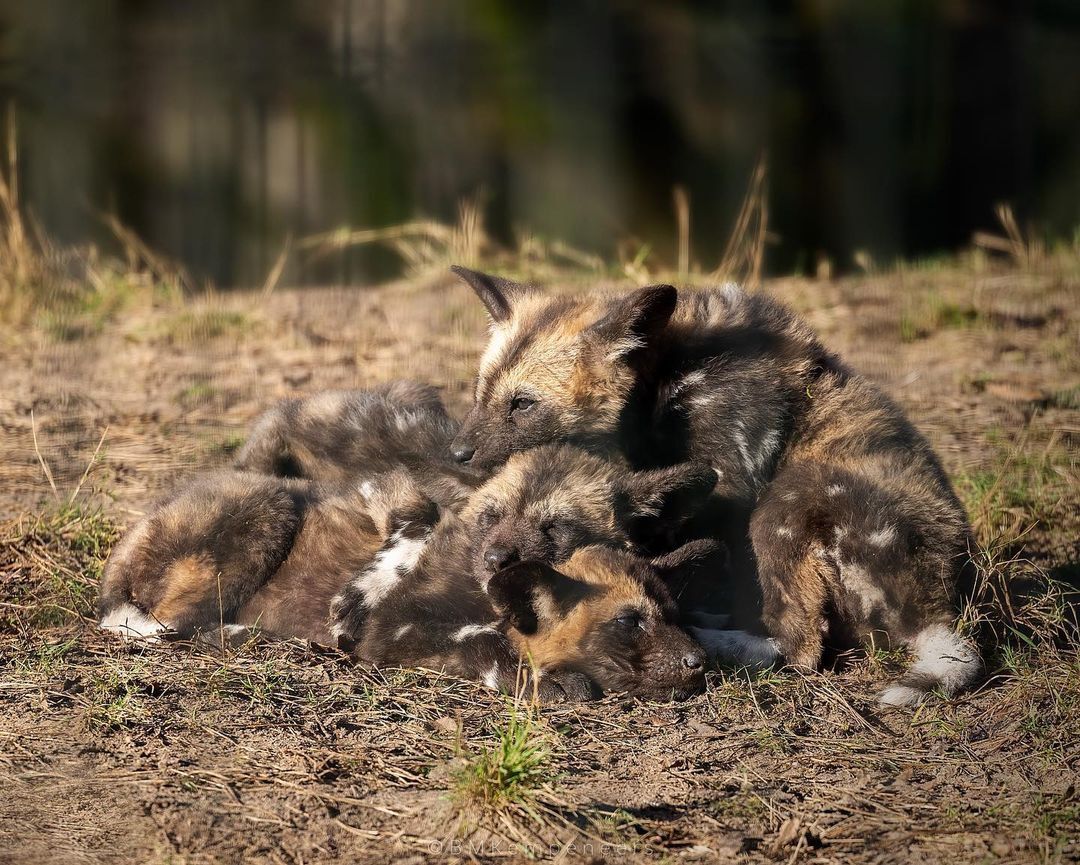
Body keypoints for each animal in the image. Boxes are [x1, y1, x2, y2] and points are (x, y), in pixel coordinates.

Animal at [444, 267, 980, 699]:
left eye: (522, 404)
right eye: (479, 394)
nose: (457, 452)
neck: (662, 378)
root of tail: (932, 612)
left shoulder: (728, 485)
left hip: (786, 504)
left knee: (801, 648)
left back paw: (721, 641)